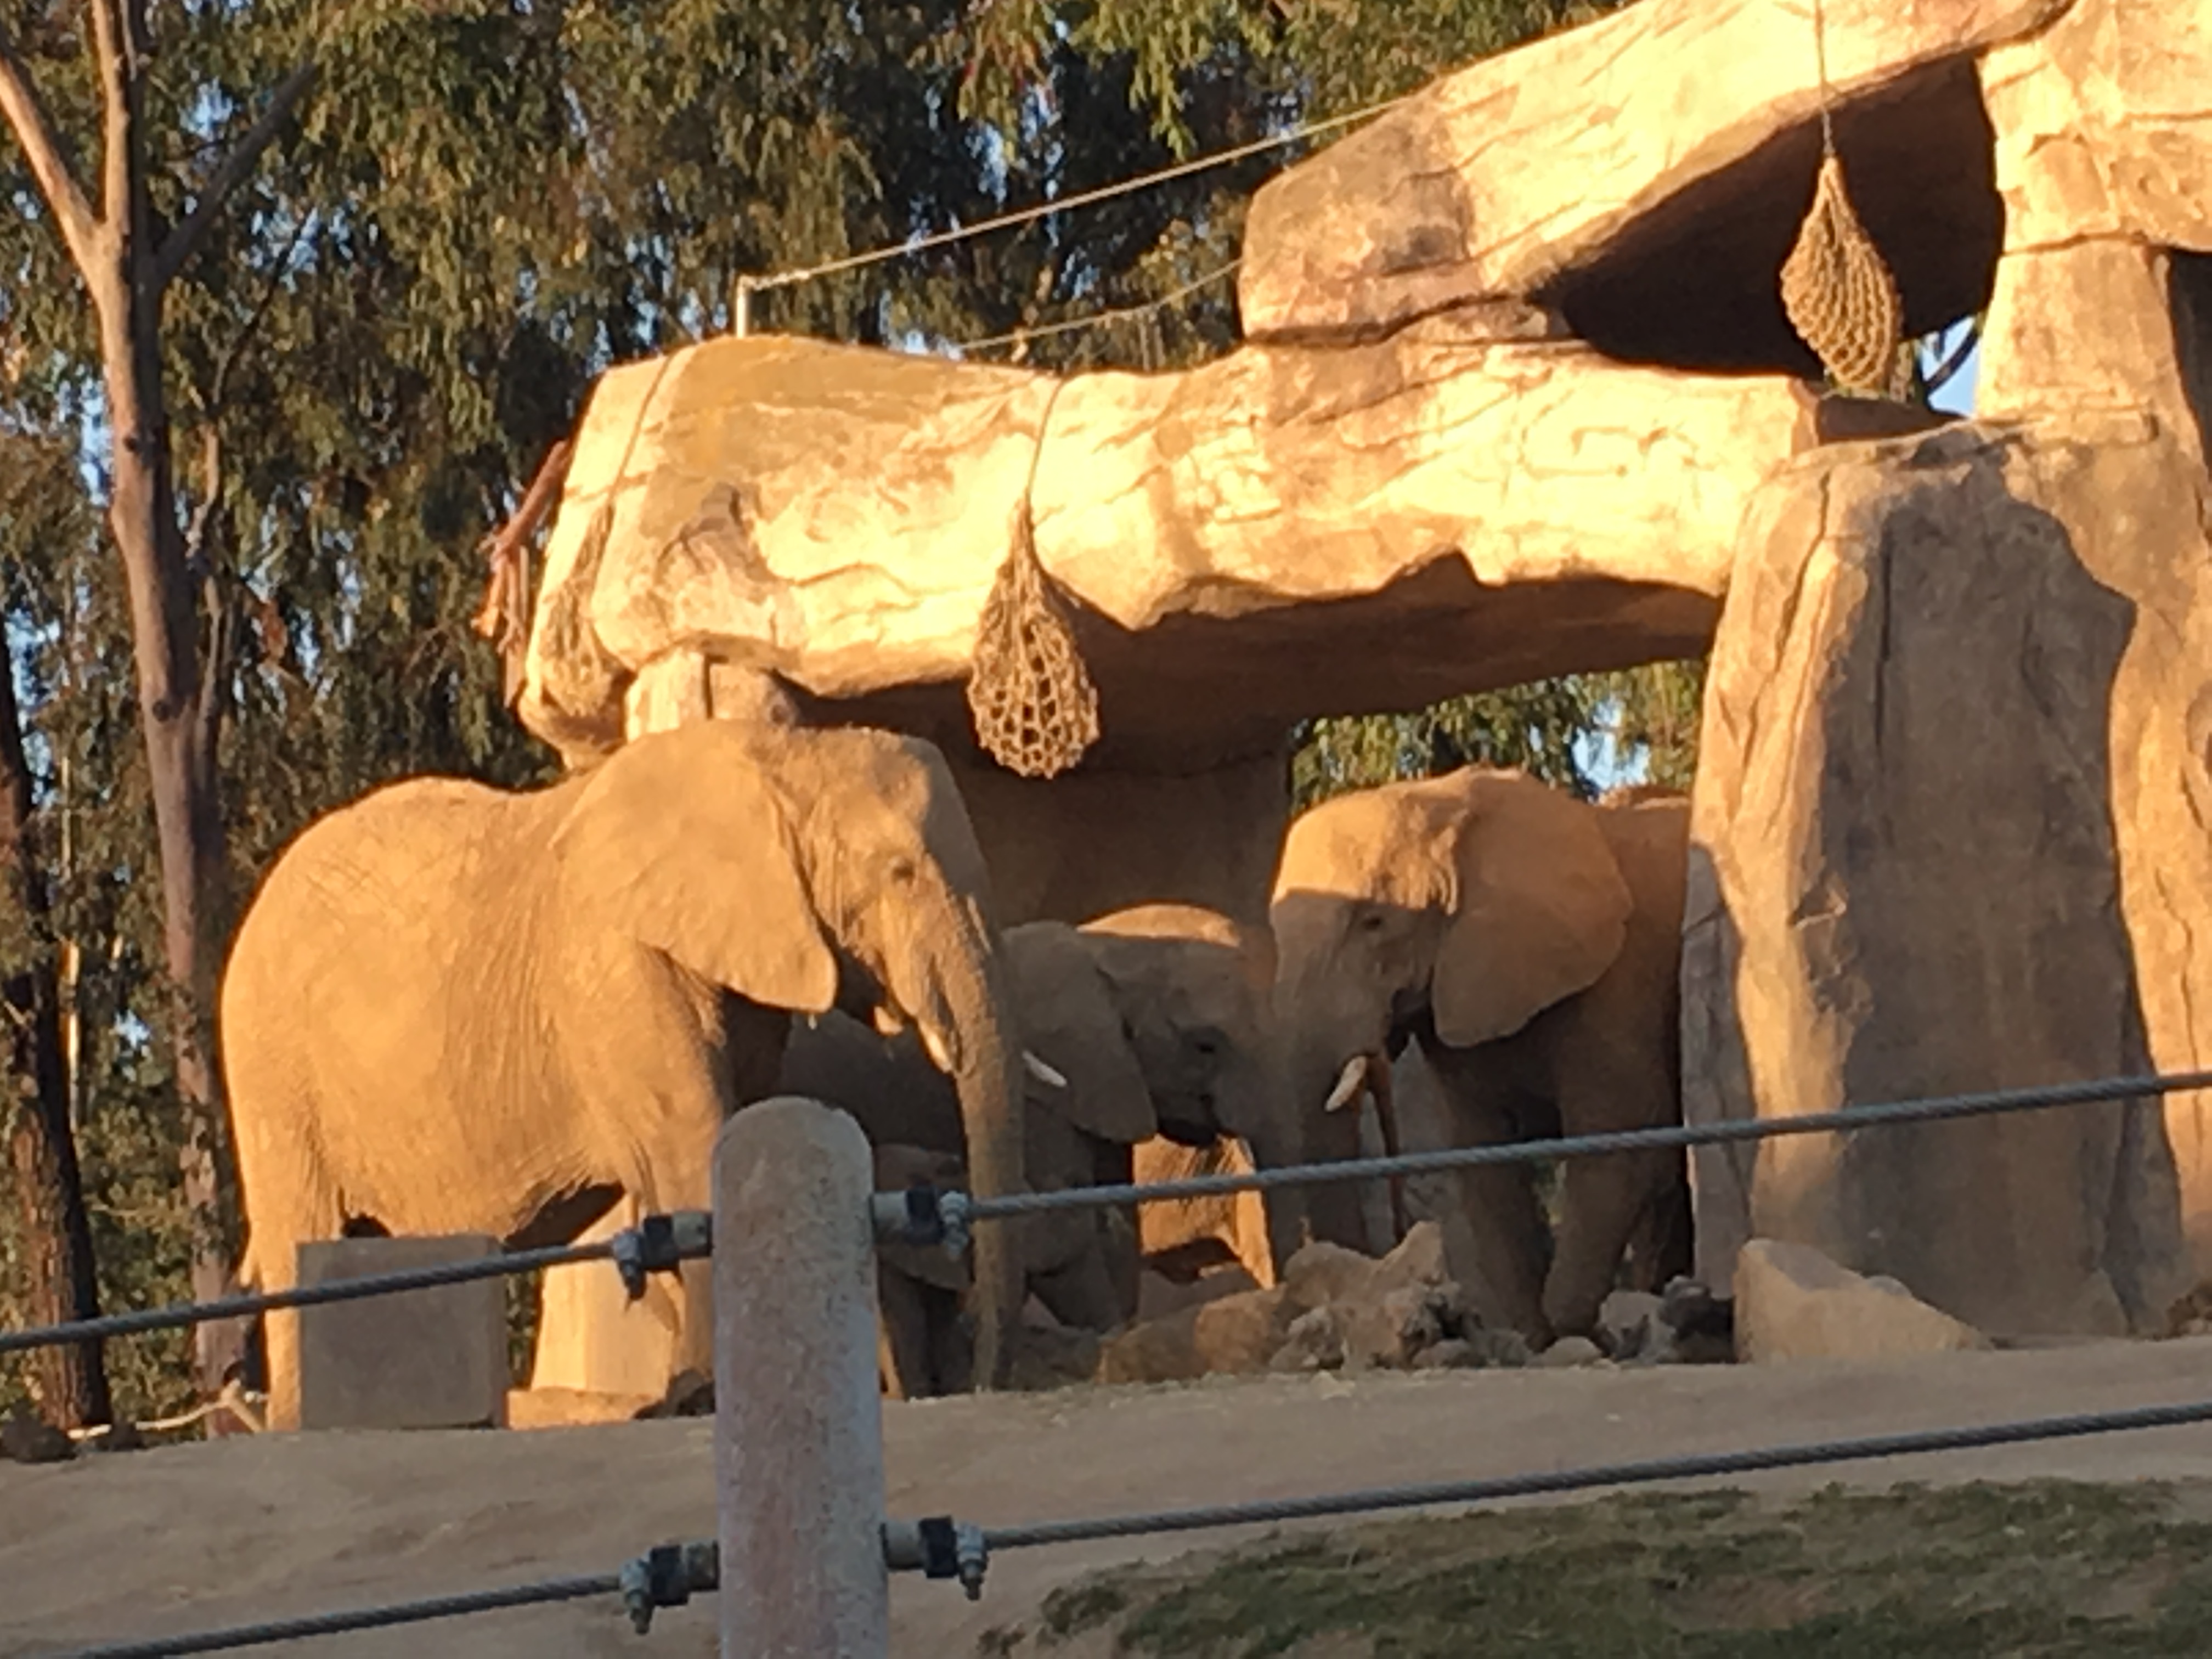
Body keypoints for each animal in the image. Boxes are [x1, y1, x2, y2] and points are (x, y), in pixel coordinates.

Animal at [220, 716, 1030, 1433]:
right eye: (900, 872)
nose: (982, 1381)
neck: (781, 758)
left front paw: (687, 1394)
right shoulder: (621, 972)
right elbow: (694, 1141)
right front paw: (702, 1396)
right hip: (272, 1075)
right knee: (308, 1233)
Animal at [1265, 774, 1690, 1353]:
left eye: (1374, 922)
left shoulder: (1617, 988)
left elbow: (1622, 1152)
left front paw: (1582, 1336)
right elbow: (1487, 1168)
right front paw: (1536, 1342)